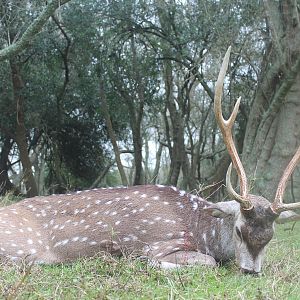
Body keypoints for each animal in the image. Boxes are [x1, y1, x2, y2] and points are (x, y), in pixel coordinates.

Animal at [0, 47, 300, 274]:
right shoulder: (160, 242)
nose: (251, 271)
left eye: (271, 236)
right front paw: (140, 261)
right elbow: (208, 262)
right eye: (238, 230)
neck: (200, 230)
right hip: (22, 249)